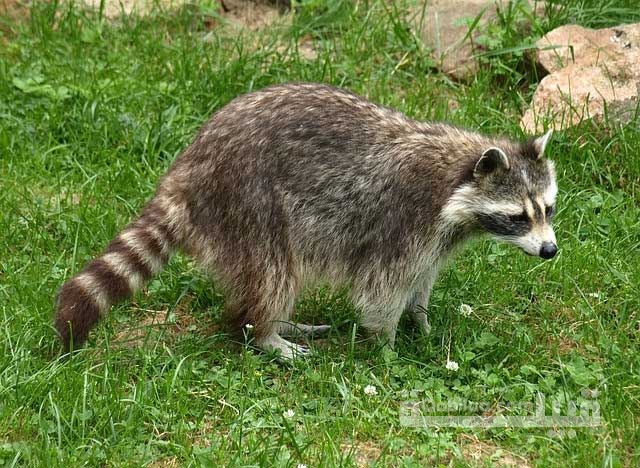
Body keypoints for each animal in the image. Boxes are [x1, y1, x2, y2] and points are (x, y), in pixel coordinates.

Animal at [55, 81, 556, 358]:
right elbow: (381, 289)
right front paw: (387, 346)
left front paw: (423, 322)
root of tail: (189, 164)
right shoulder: (404, 219)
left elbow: (422, 279)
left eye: (547, 209)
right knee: (274, 273)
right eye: (518, 216)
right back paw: (265, 332)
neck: (455, 175)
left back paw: (274, 324)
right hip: (249, 202)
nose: (550, 250)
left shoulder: (438, 237)